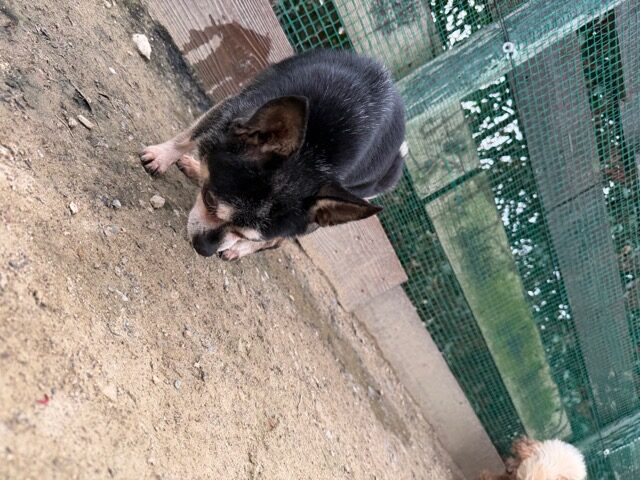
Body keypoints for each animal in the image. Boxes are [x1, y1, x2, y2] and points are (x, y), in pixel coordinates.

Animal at [140, 49, 406, 260]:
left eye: (251, 237)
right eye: (209, 201)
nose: (204, 250)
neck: (313, 146)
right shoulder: (235, 106)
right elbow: (191, 136)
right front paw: (163, 155)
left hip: (325, 212)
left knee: (278, 241)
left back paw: (239, 250)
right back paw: (196, 168)